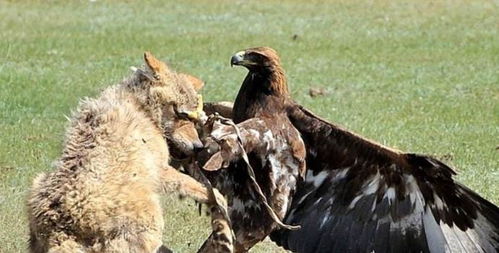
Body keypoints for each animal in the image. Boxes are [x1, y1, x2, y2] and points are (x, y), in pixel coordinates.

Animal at [26, 52, 231, 252]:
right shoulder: (160, 170)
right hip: (152, 217)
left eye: (194, 118)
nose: (198, 147)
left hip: (37, 182)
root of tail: (62, 228)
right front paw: (219, 199)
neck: (141, 107)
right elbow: (194, 185)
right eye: (181, 113)